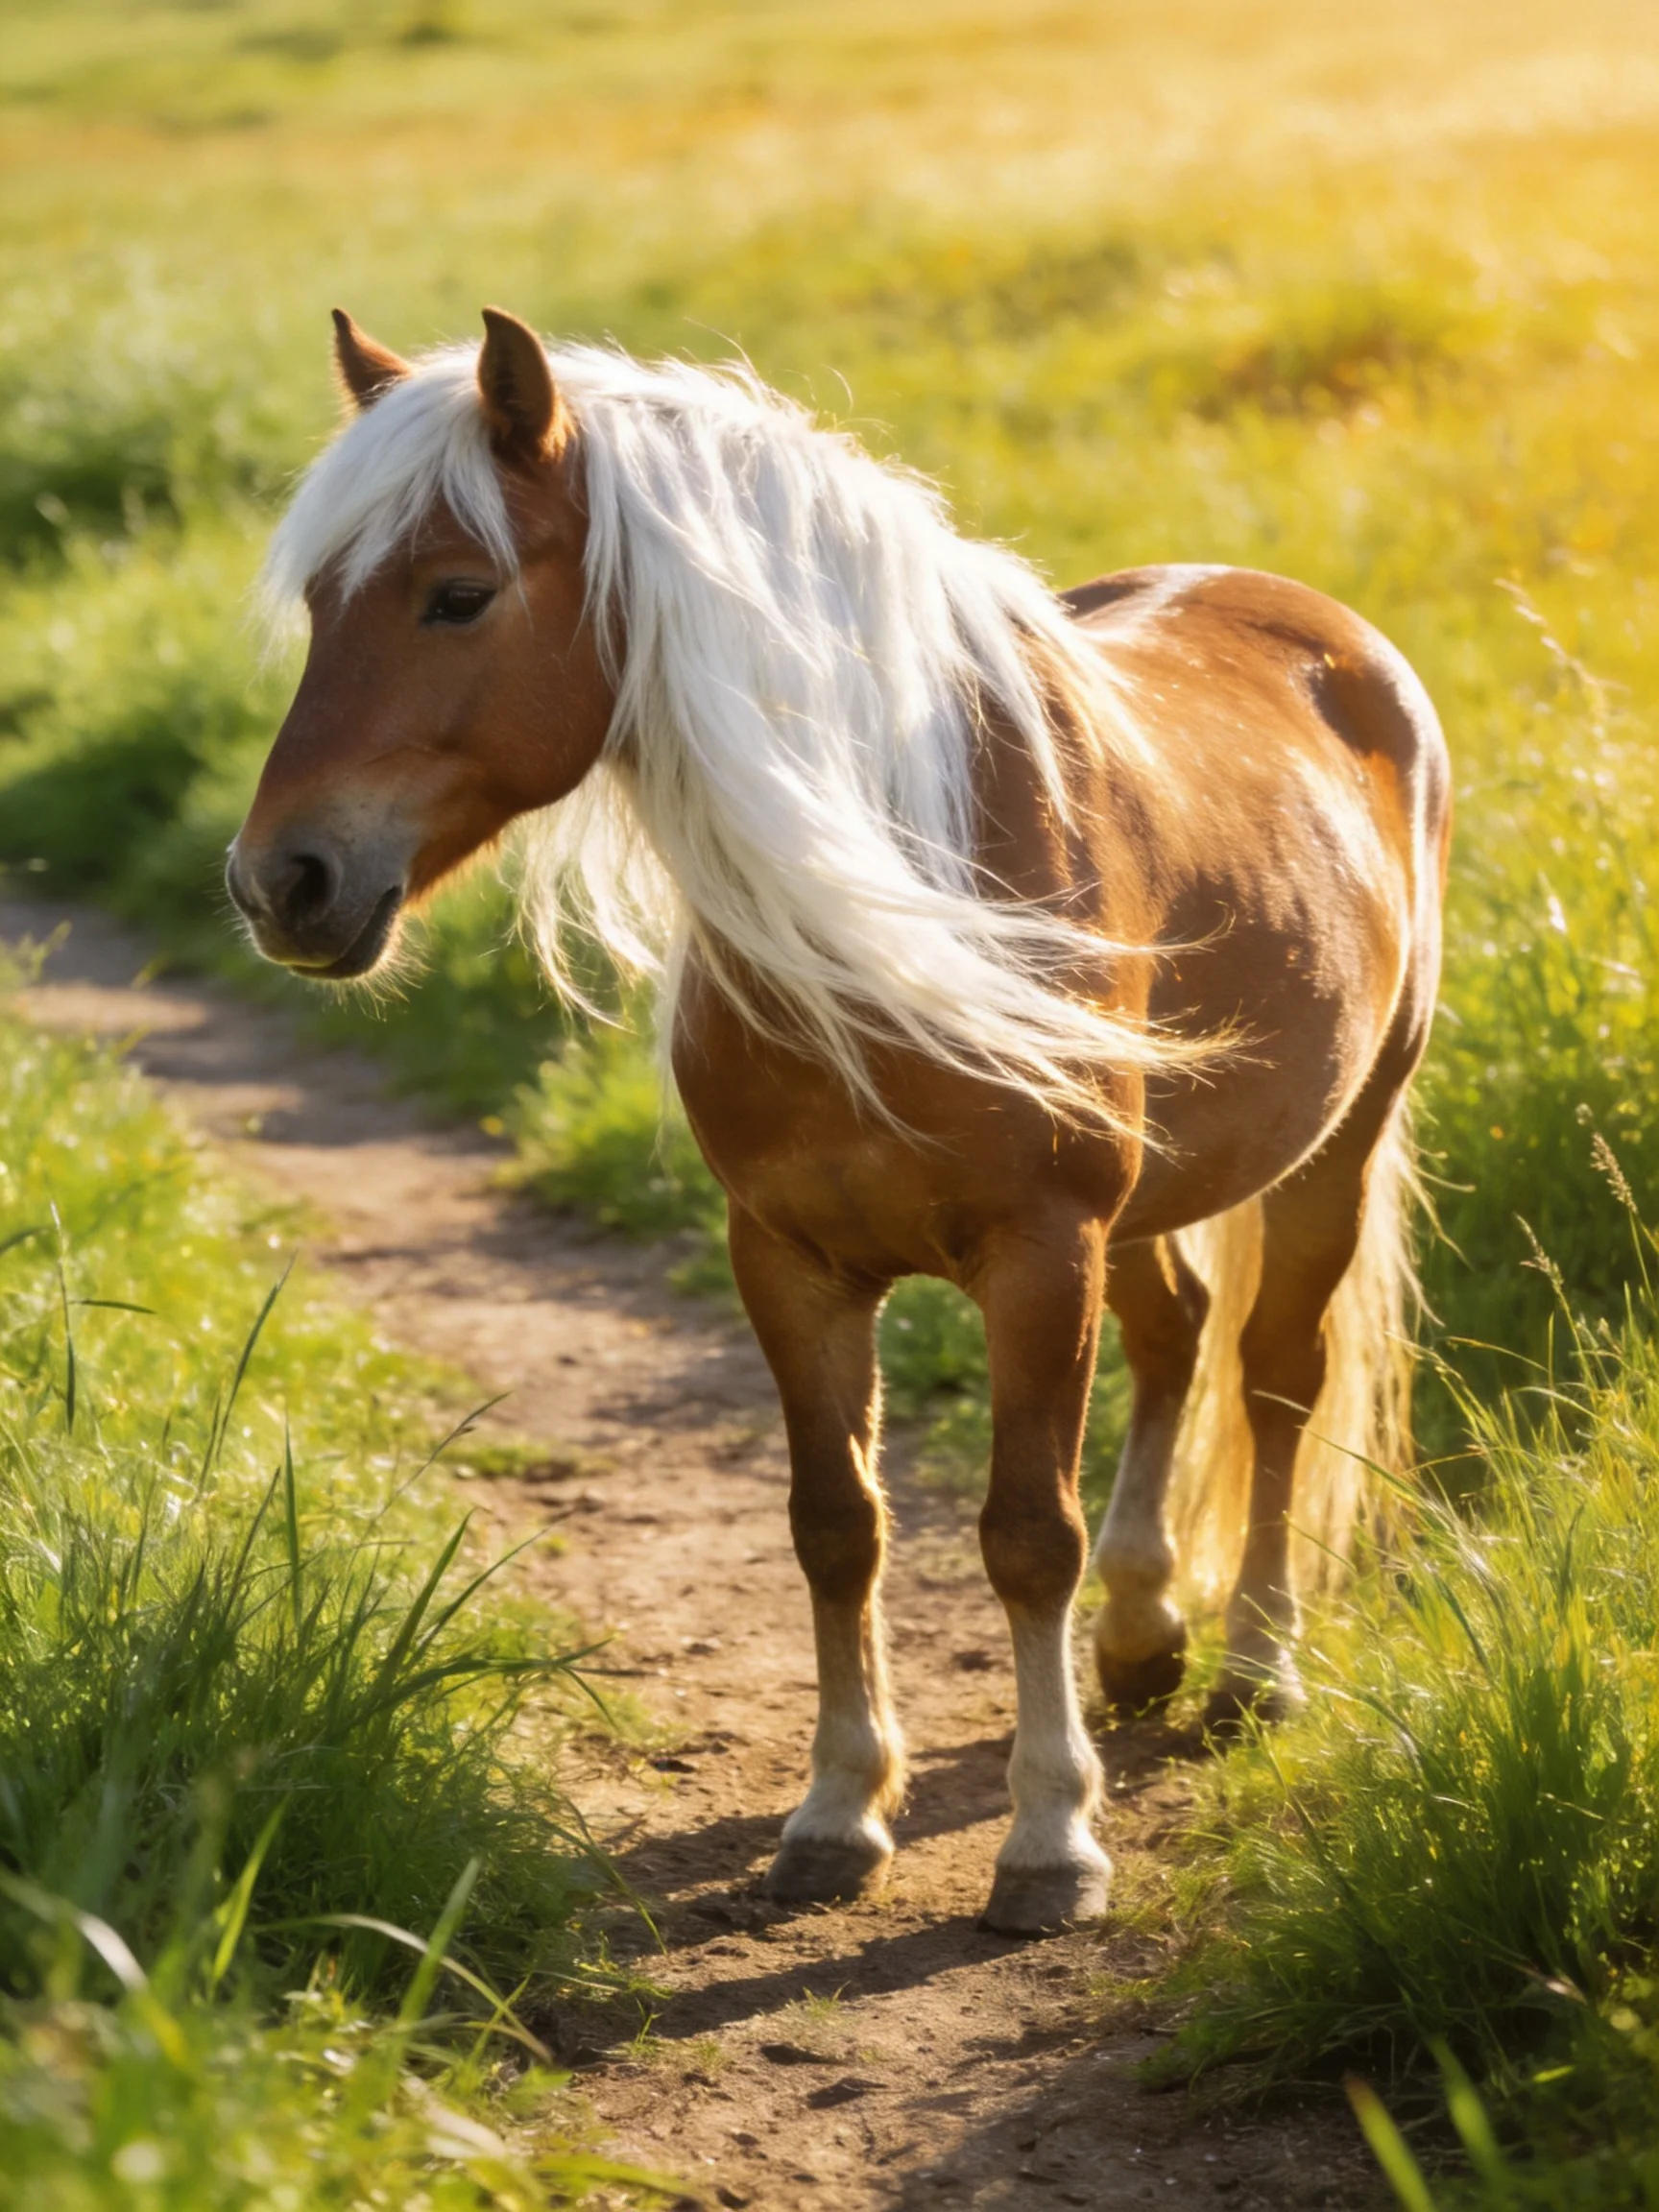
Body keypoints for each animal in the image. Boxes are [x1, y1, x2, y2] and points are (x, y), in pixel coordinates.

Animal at [228, 307, 1450, 1936]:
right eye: (320, 601)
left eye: (457, 594)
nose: (278, 882)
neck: (888, 895)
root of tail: (1323, 628)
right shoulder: (790, 1260)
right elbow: (836, 1524)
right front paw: (833, 1814)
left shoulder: (1038, 1252)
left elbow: (1024, 1535)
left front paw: (1050, 1842)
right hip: (1153, 1193)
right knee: (1179, 1336)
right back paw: (1144, 1639)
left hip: (1334, 1149)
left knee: (1275, 1378)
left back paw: (1257, 1668)